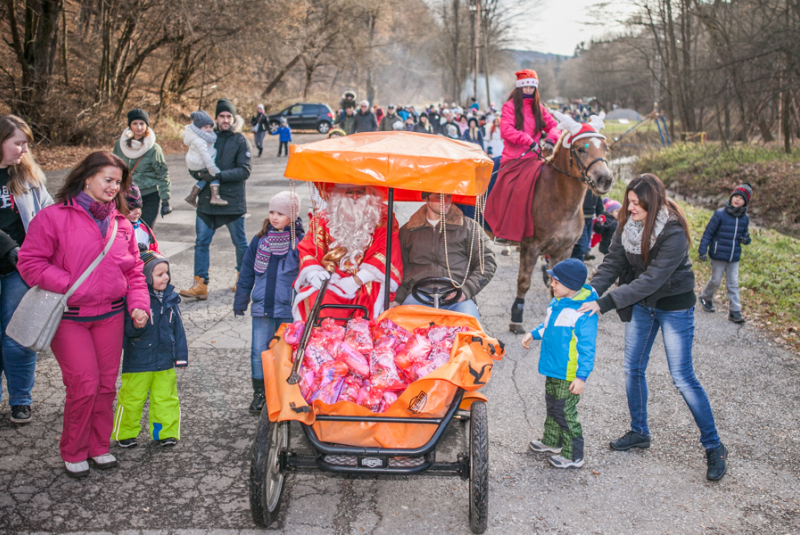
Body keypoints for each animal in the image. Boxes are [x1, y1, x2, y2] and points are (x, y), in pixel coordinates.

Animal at [510, 127, 616, 332]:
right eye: (581, 149)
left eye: (605, 147)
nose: (605, 179)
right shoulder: (530, 246)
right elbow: (523, 282)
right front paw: (516, 318)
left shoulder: (564, 250)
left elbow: (556, 285)